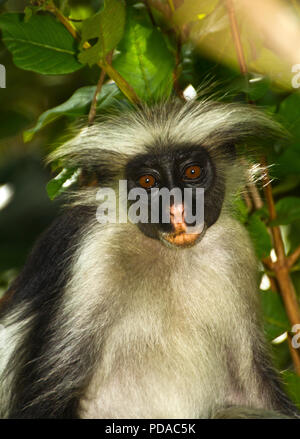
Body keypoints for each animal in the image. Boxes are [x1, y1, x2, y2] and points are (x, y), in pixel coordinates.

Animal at [0, 97, 300, 420]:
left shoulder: (234, 248)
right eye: (147, 181)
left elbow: (254, 394)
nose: (177, 210)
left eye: (191, 173)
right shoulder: (93, 250)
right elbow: (47, 399)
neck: (171, 255)